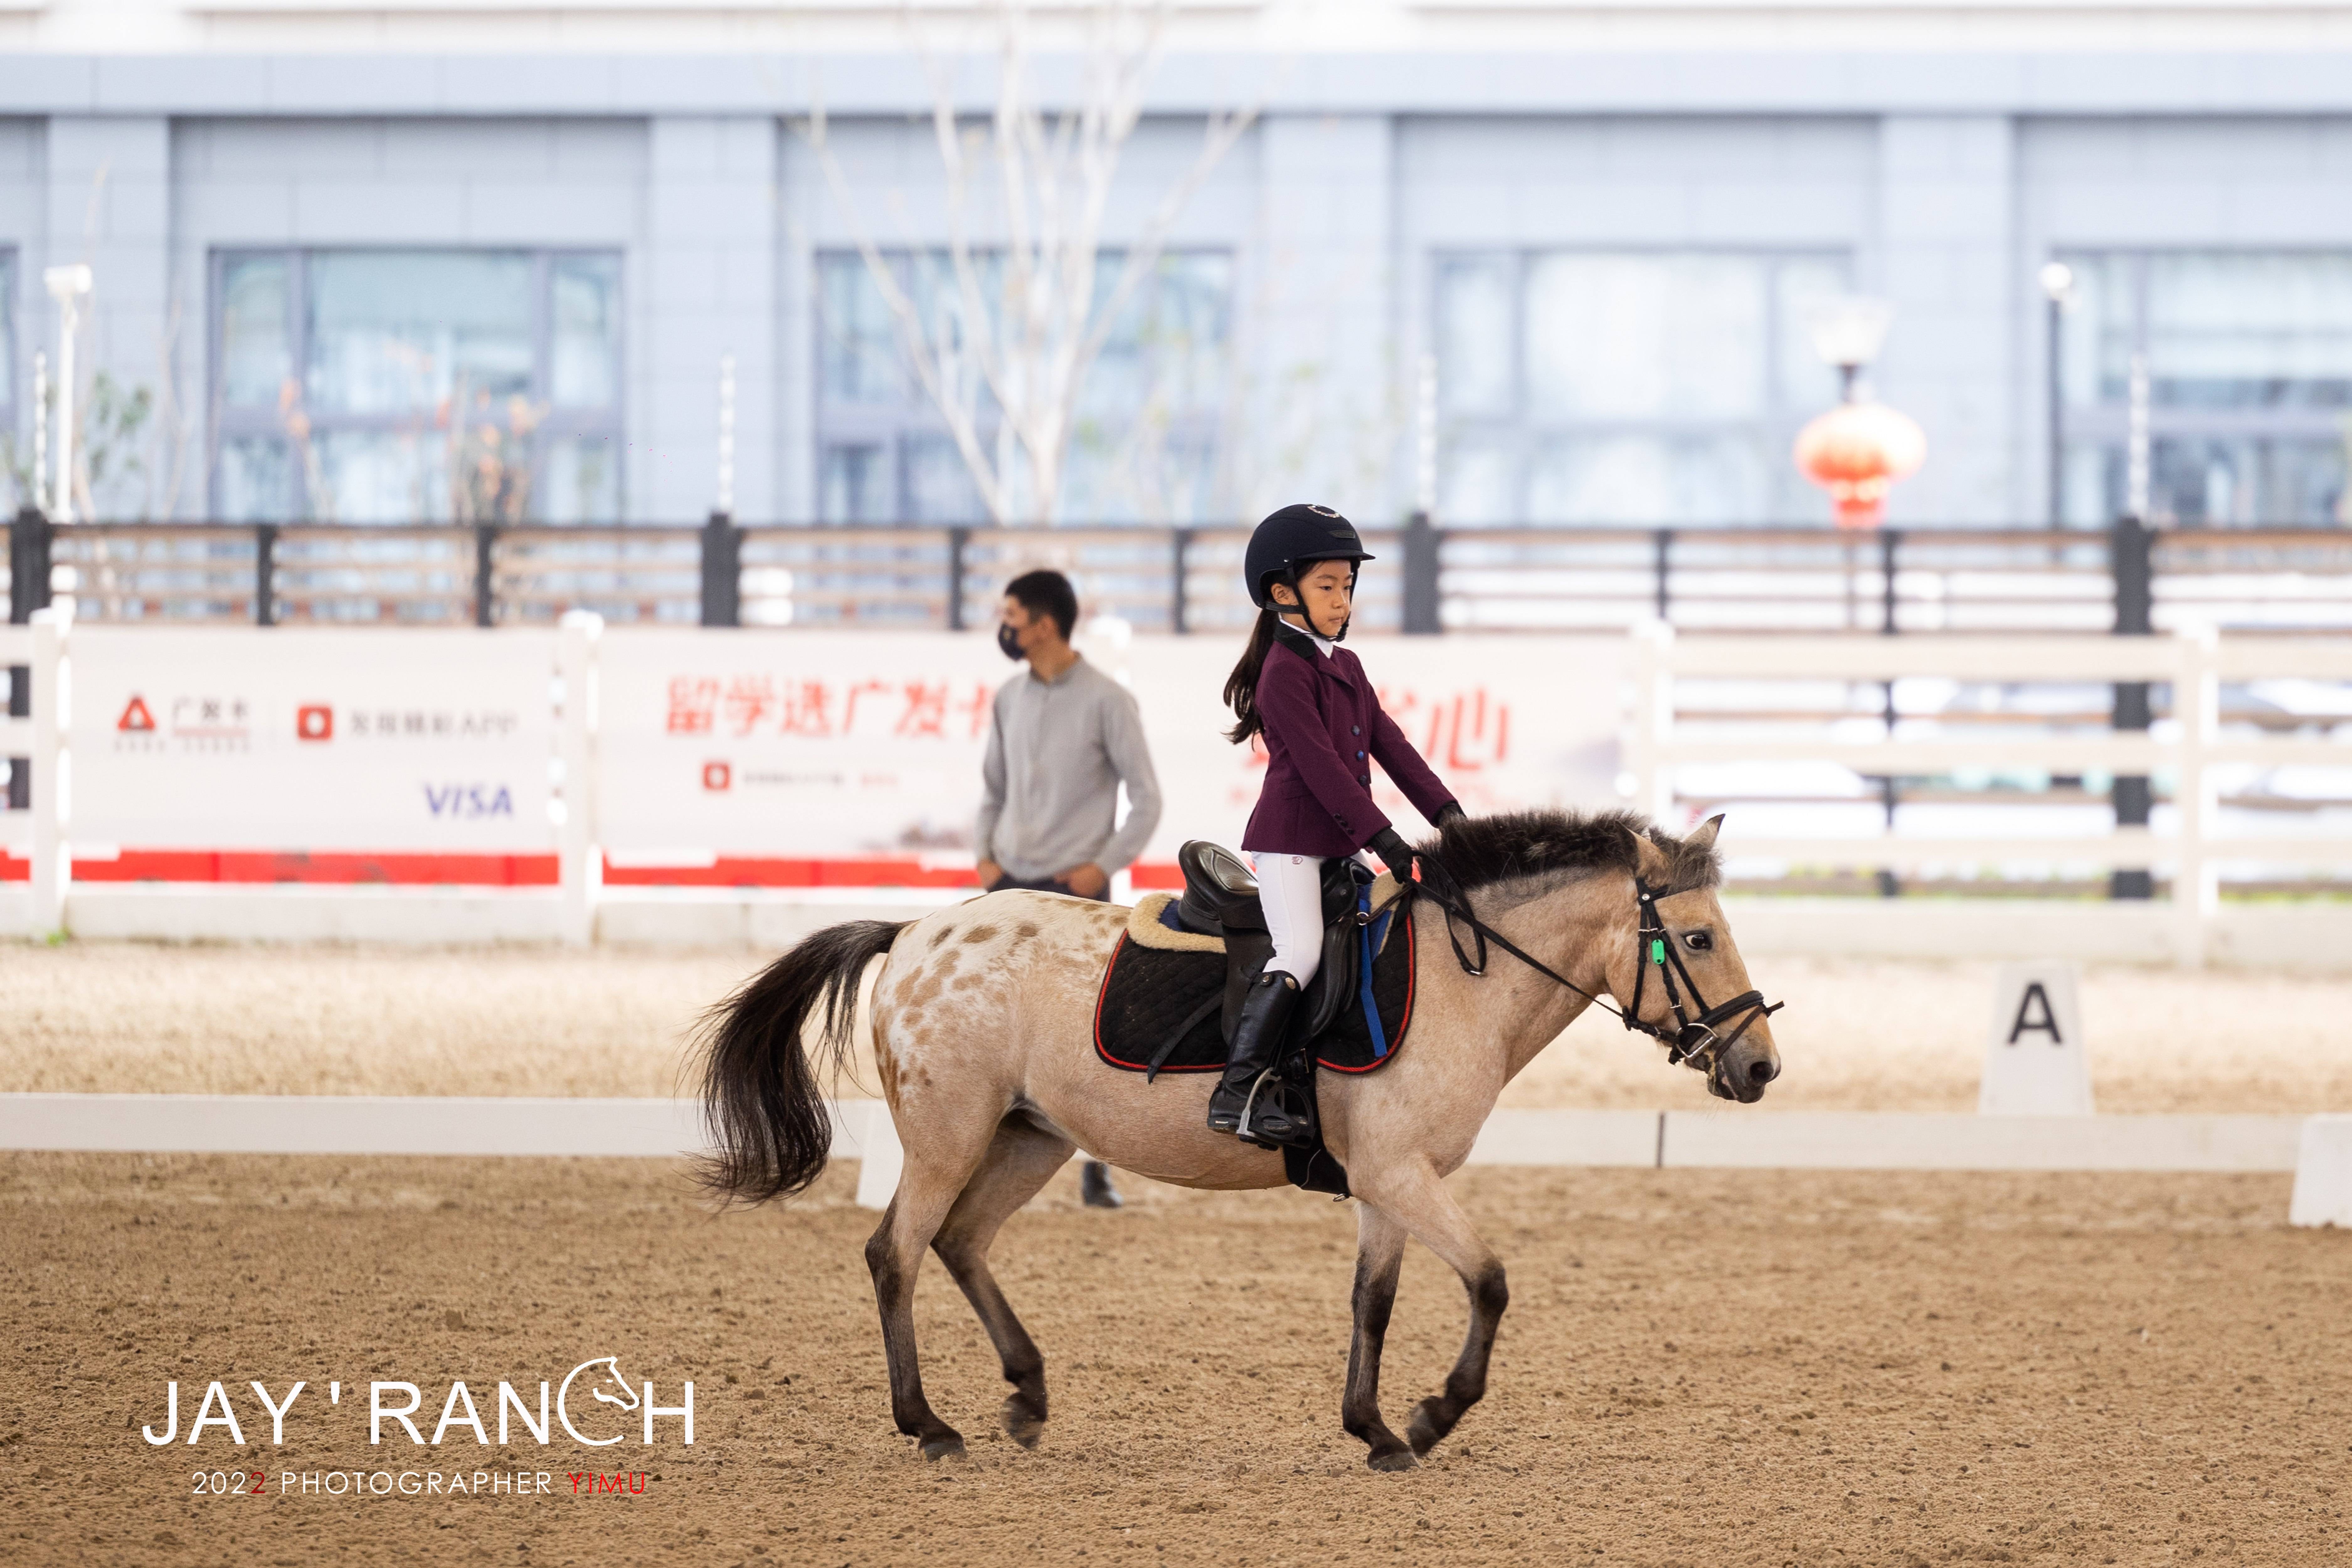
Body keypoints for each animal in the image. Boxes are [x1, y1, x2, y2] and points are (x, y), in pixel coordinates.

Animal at [695, 809, 1781, 1472]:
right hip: (947, 1134)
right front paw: (1432, 1414)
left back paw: (1028, 1395)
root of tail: (917, 931)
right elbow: (1492, 1281)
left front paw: (1375, 1429)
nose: (1760, 1067)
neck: (1464, 976)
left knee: (960, 1242)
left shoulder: (1388, 1180)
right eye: (1695, 940)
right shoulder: (1402, 1173)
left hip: (1028, 1137)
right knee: (898, 1252)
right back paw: (928, 1424)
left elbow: (1375, 1301)